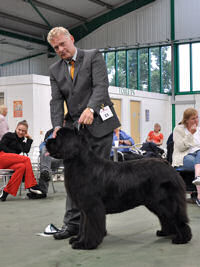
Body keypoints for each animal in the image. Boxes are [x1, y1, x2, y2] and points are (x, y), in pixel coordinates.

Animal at [46, 127, 192, 251]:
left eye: (59, 136)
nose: (47, 141)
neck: (80, 163)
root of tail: (167, 164)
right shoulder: (84, 208)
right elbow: (83, 226)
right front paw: (78, 239)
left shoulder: (92, 207)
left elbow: (90, 227)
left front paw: (86, 244)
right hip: (155, 203)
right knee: (165, 217)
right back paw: (166, 233)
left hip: (164, 201)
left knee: (176, 217)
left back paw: (182, 239)